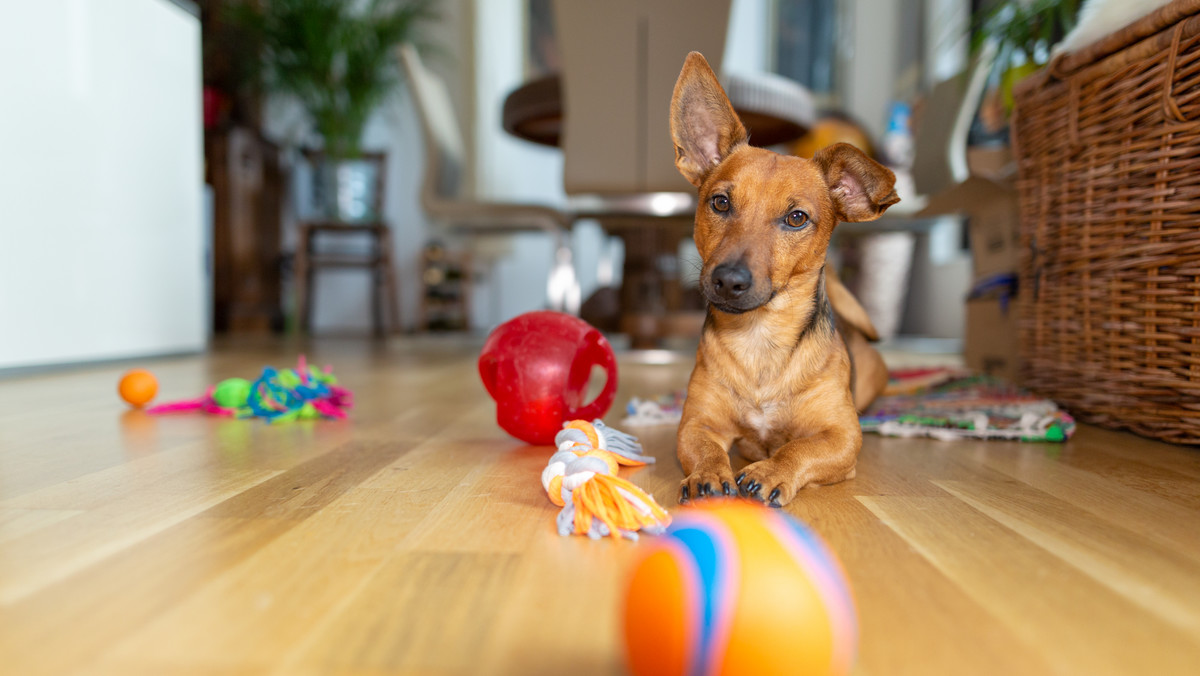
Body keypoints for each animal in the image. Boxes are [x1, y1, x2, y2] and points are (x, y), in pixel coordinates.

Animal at [672, 54, 897, 509]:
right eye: (719, 202)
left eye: (796, 218)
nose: (728, 280)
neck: (760, 339)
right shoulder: (696, 423)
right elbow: (705, 450)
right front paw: (708, 474)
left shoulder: (842, 437)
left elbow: (799, 448)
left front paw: (771, 471)